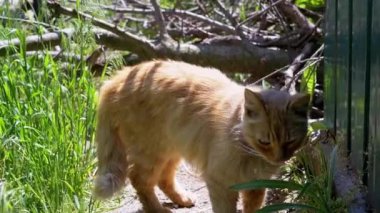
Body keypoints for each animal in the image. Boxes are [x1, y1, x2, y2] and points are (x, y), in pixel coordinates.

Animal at [93, 60, 310, 213]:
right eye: (264, 141)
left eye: (290, 141)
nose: (279, 158)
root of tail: (116, 79)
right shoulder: (220, 183)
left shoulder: (256, 185)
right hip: (151, 152)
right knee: (139, 179)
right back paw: (158, 210)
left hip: (172, 148)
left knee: (163, 178)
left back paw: (182, 199)